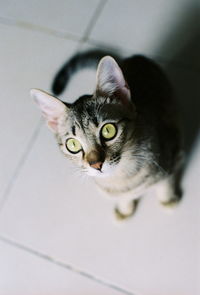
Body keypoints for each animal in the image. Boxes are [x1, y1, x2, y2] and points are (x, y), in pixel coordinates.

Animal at [30, 49, 184, 220]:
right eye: (73, 145)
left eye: (108, 130)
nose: (96, 165)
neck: (120, 179)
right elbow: (123, 198)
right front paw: (125, 209)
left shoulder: (172, 153)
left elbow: (165, 183)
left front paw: (168, 200)